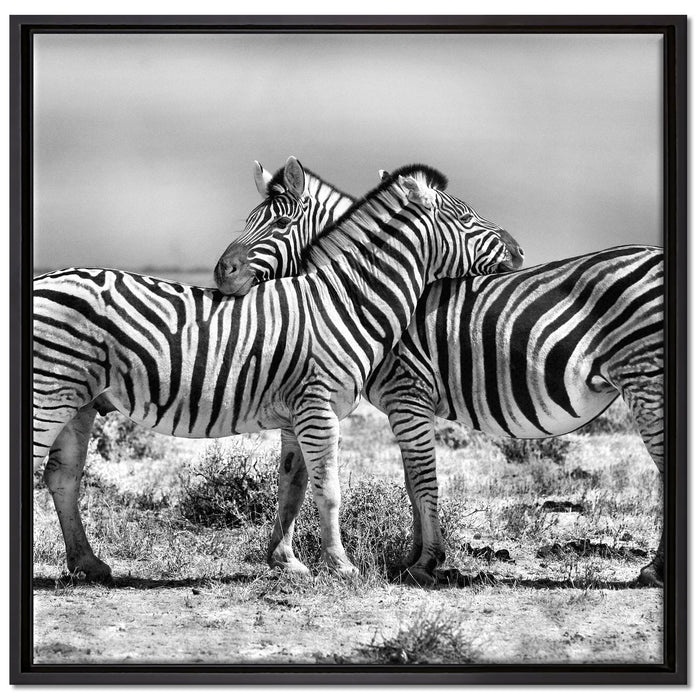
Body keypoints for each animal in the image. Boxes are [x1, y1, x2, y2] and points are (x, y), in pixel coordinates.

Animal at [33, 158, 517, 582]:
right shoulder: (319, 407)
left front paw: (288, 562)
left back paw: (88, 563)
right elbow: (328, 490)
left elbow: (293, 486)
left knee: (63, 477)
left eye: (280, 224)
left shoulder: (299, 413)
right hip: (49, 394)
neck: (345, 301)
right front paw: (340, 566)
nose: (517, 250)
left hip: (79, 402)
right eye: (468, 219)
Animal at [214, 162, 664, 588]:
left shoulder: (407, 394)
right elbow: (412, 483)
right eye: (250, 220)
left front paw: (427, 562)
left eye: (279, 224)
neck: (359, 293)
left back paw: (654, 571)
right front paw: (415, 559)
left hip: (645, 378)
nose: (222, 273)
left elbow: (423, 479)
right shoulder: (406, 405)